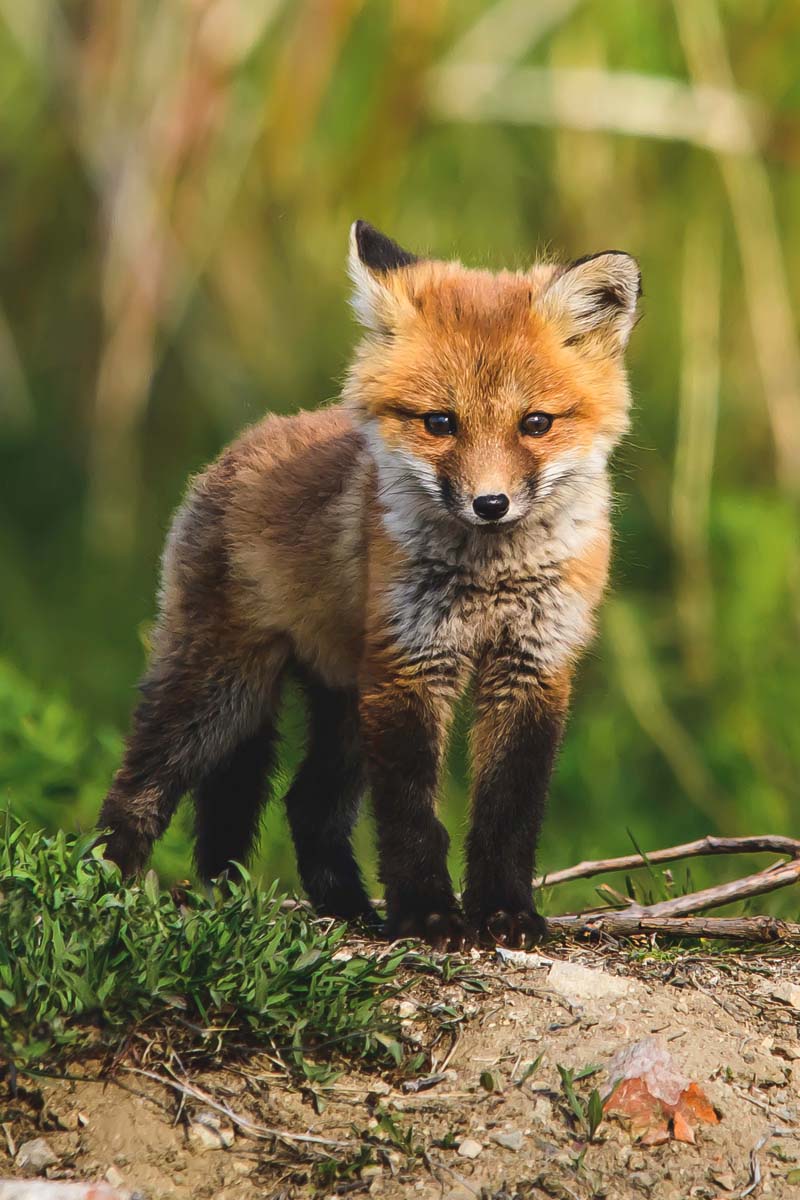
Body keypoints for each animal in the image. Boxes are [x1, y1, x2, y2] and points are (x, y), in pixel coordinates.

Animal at [98, 220, 641, 950]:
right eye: (440, 423)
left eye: (536, 424)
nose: (490, 504)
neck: (489, 577)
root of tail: (247, 440)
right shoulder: (410, 666)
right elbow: (411, 817)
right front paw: (429, 916)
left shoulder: (531, 666)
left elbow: (508, 811)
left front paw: (504, 913)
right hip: (223, 692)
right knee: (140, 784)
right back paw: (106, 884)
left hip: (341, 703)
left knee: (306, 805)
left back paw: (345, 909)